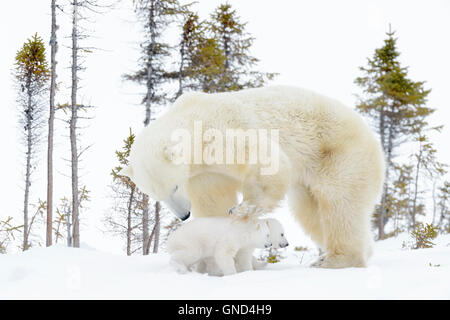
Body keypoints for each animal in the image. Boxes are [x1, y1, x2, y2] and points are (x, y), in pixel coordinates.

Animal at [121, 85, 384, 268]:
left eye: (174, 186)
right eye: (157, 196)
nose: (184, 215)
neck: (192, 116)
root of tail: (371, 136)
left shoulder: (221, 132)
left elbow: (267, 159)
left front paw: (243, 209)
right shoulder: (205, 172)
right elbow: (213, 199)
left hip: (338, 154)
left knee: (339, 203)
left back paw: (337, 260)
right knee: (309, 212)